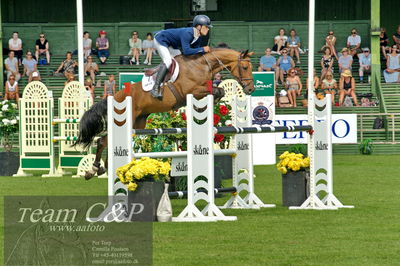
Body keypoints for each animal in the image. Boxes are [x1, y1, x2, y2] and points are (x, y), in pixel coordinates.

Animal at [74, 48, 256, 180]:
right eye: (245, 67)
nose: (250, 89)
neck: (201, 66)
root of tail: (115, 96)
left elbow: (220, 90)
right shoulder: (192, 91)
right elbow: (216, 90)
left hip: (138, 122)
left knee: (108, 142)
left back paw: (106, 167)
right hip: (125, 120)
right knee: (102, 141)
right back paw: (94, 170)